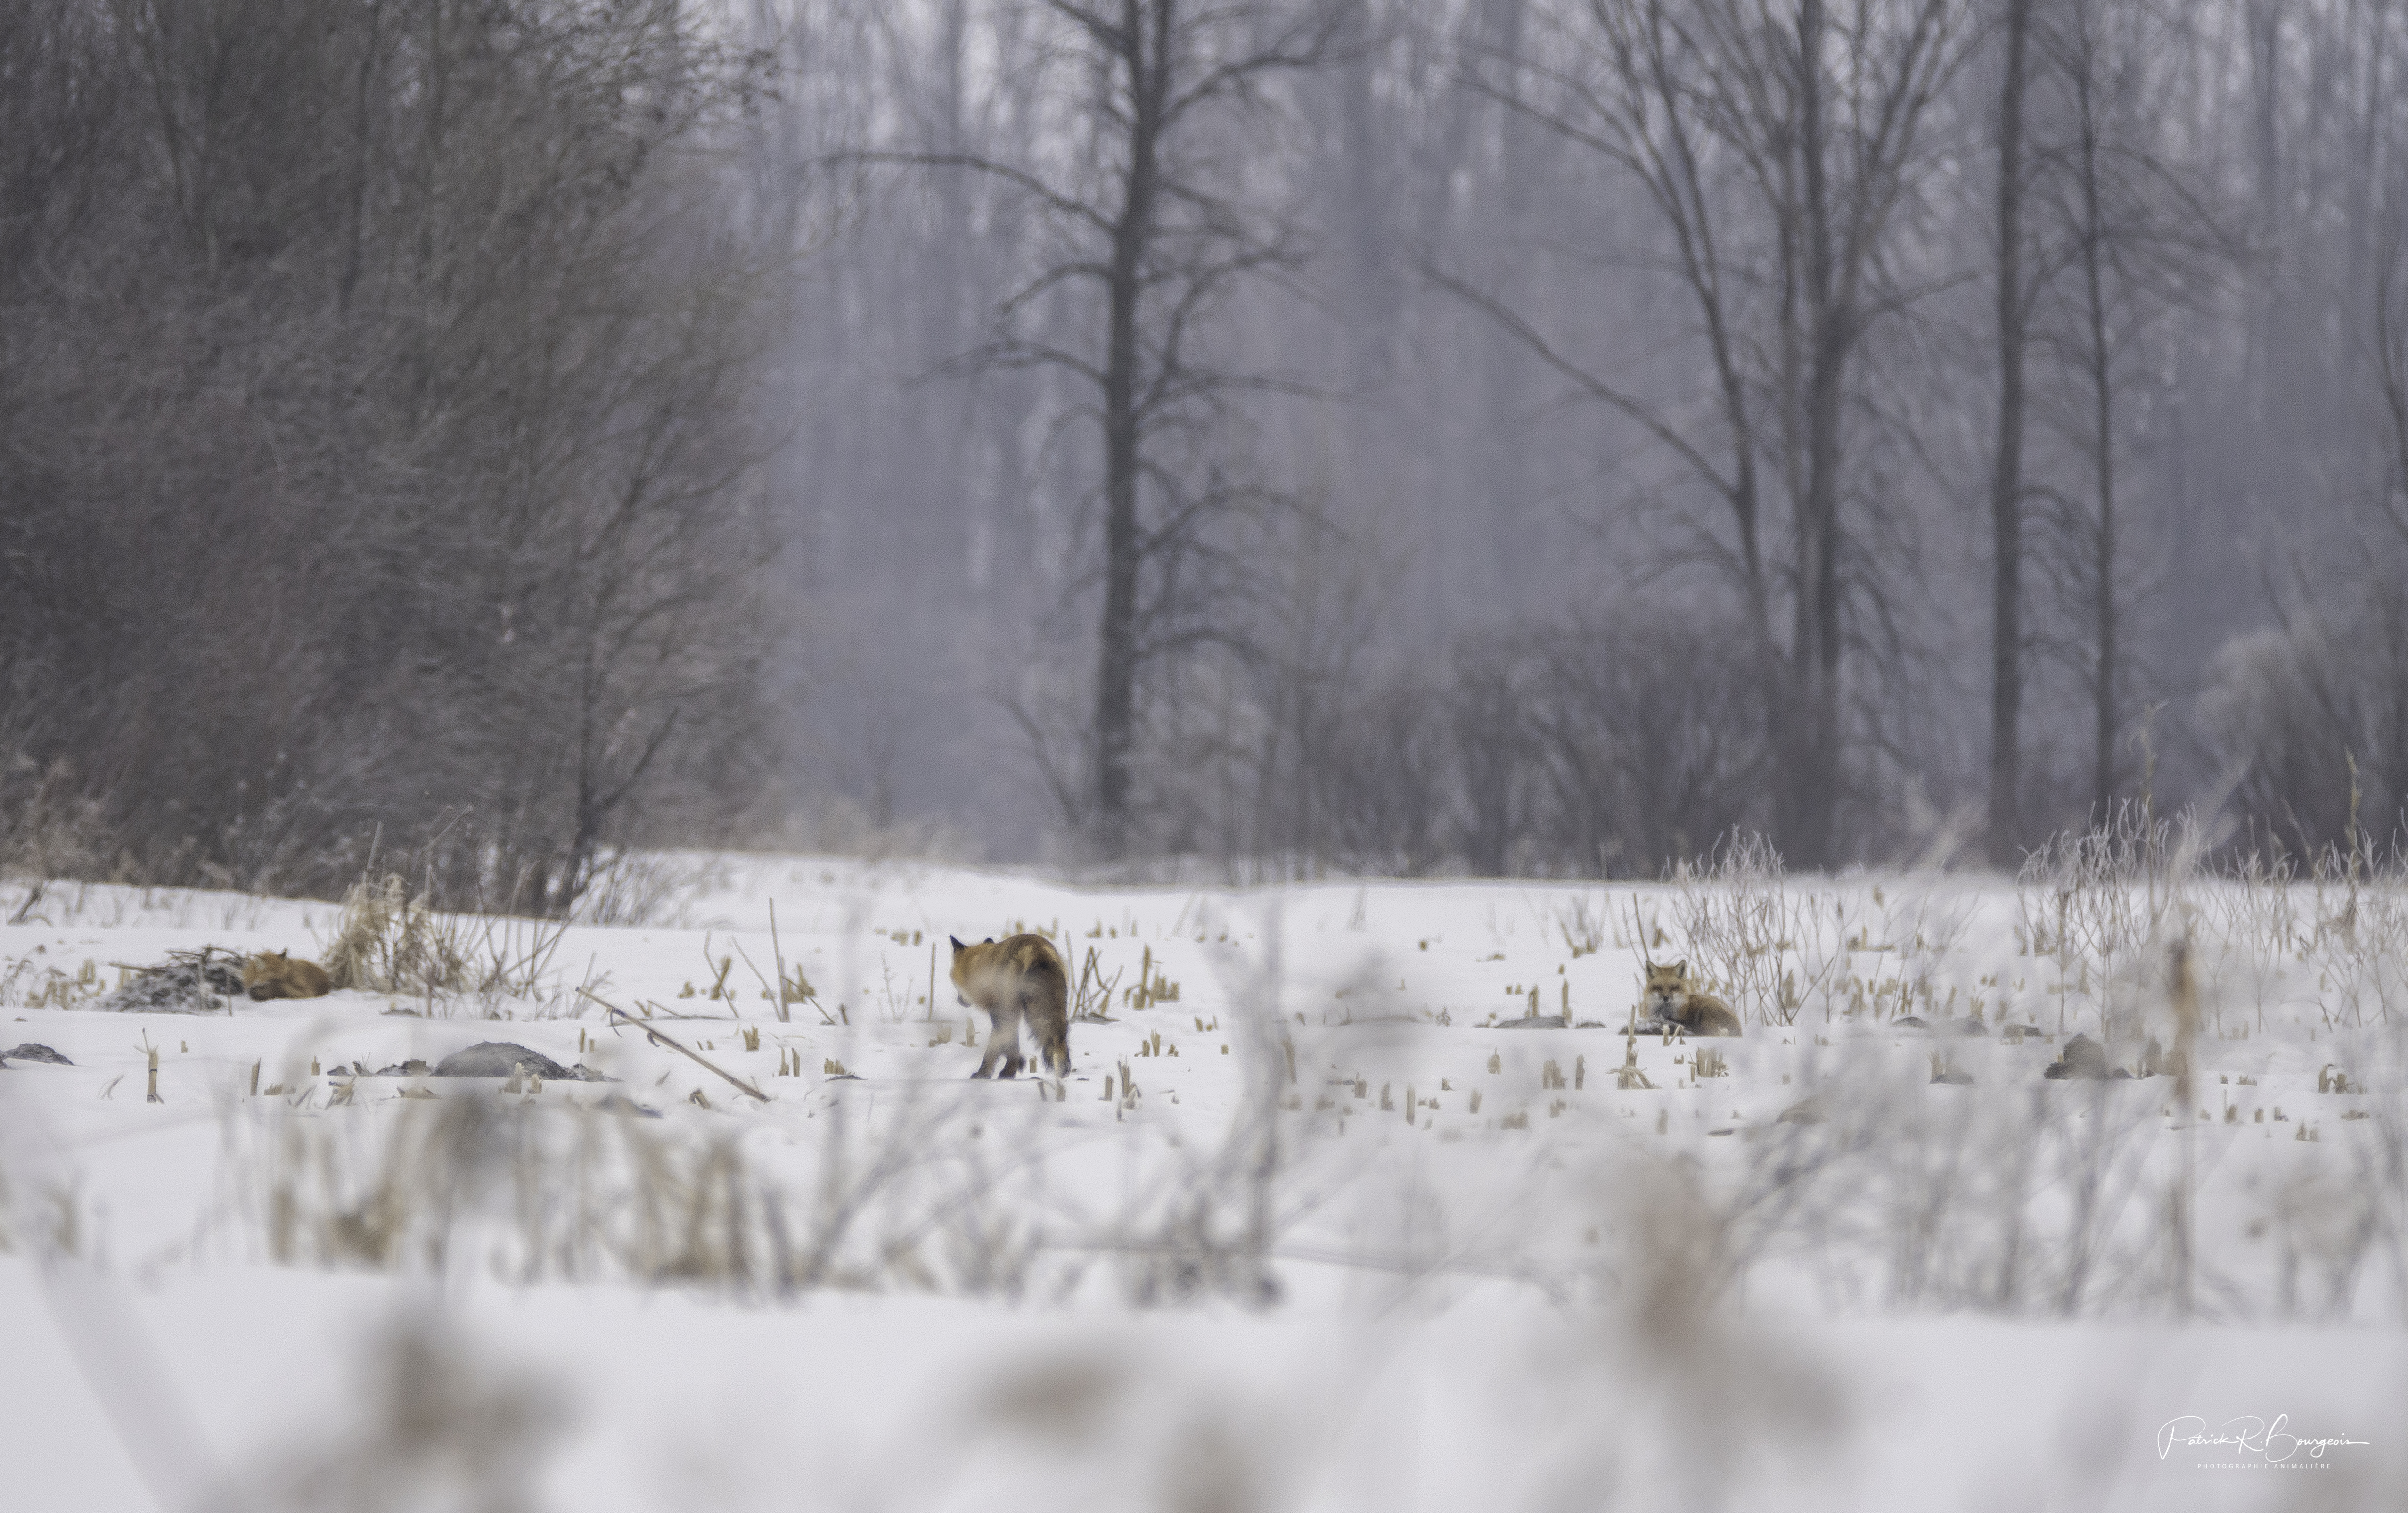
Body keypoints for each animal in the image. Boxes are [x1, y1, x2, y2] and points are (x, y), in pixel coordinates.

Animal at [950, 932, 1071, 1079]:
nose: (959, 1000)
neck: (984, 966)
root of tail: (1037, 949)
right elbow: (1004, 1045)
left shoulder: (999, 1012)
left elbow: (1002, 1046)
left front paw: (985, 1073)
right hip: (1057, 1009)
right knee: (1060, 1037)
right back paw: (1063, 1070)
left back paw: (1008, 1072)